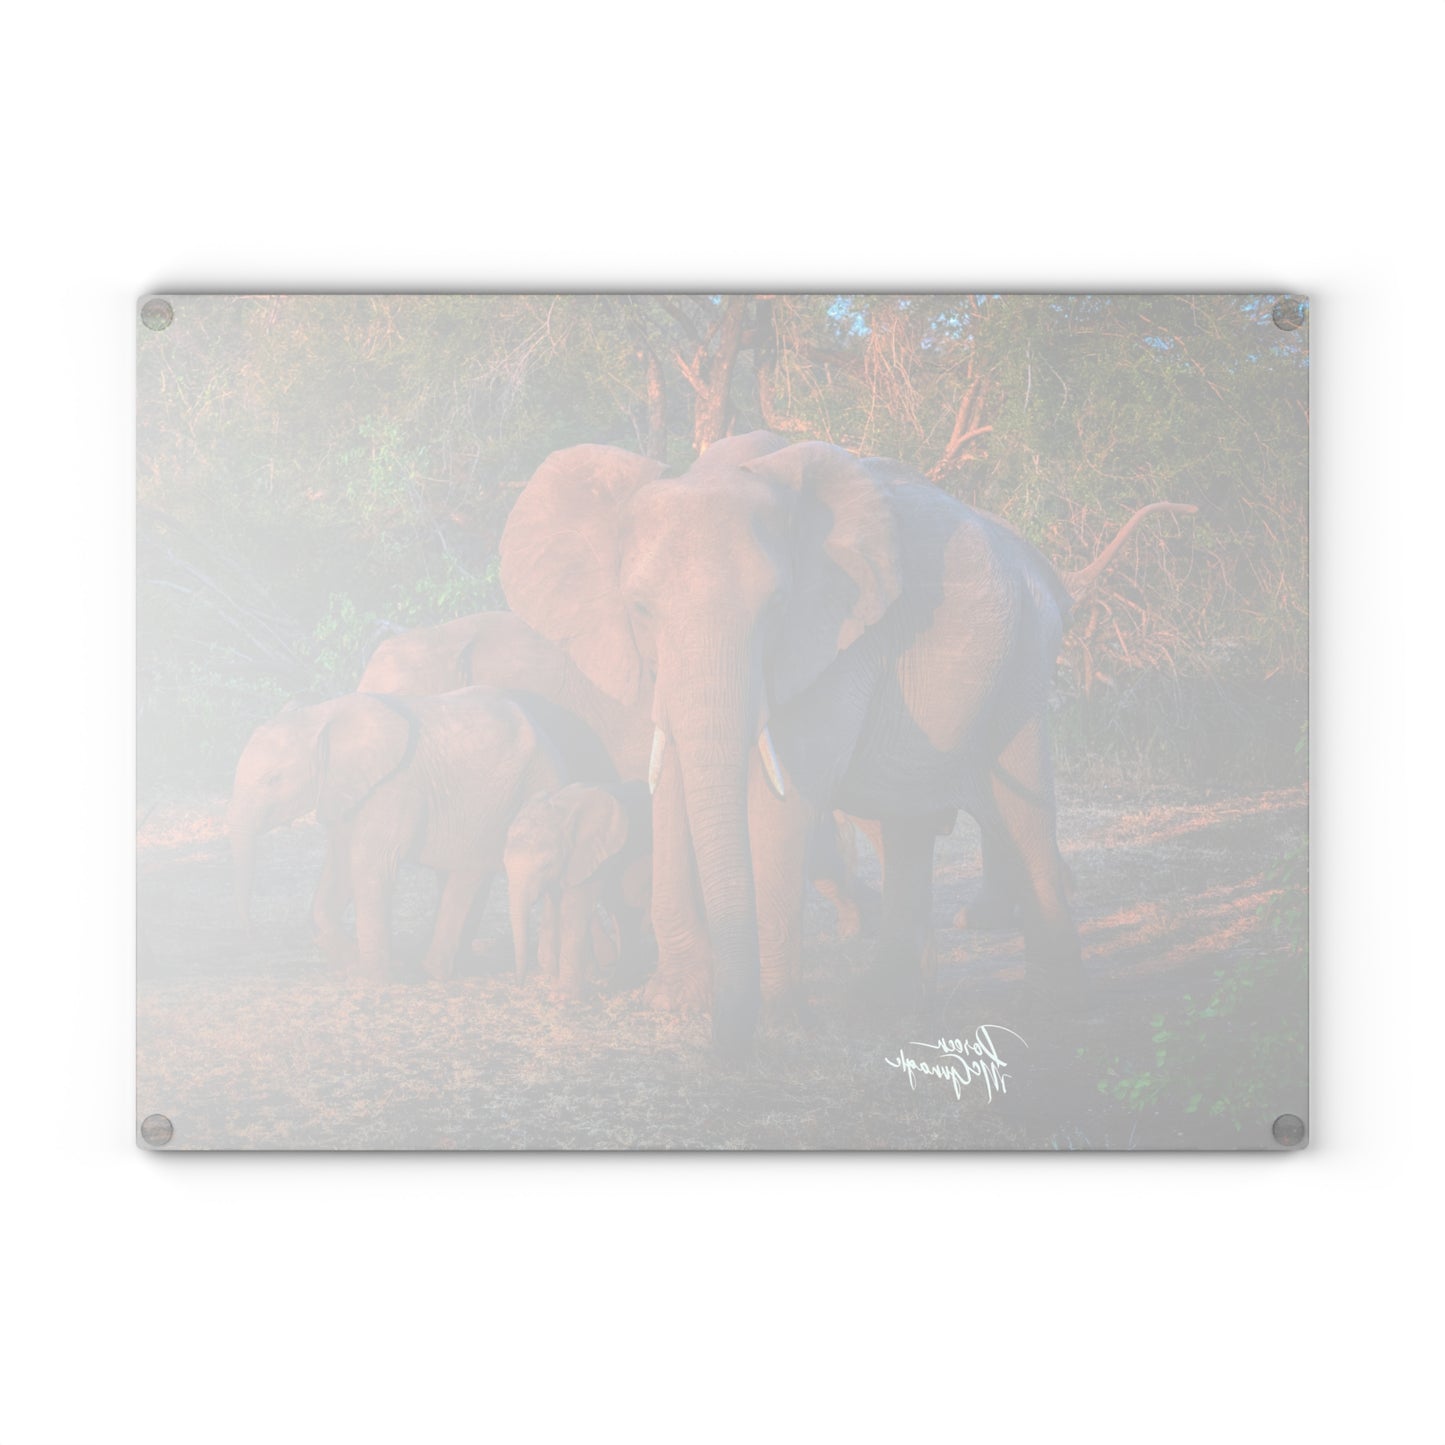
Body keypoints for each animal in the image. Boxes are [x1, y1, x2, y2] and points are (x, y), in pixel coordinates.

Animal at [226, 687, 564, 980]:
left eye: (273, 779)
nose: (252, 933)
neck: (324, 715)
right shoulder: (345, 789)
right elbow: (341, 863)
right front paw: (351, 965)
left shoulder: (395, 786)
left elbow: (369, 862)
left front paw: (372, 978)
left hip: (525, 786)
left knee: (475, 869)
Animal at [503, 780, 653, 999]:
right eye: (504, 863)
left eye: (546, 864)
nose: (519, 986)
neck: (562, 810)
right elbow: (553, 907)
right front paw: (553, 978)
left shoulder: (591, 855)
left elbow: (574, 909)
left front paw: (564, 995)